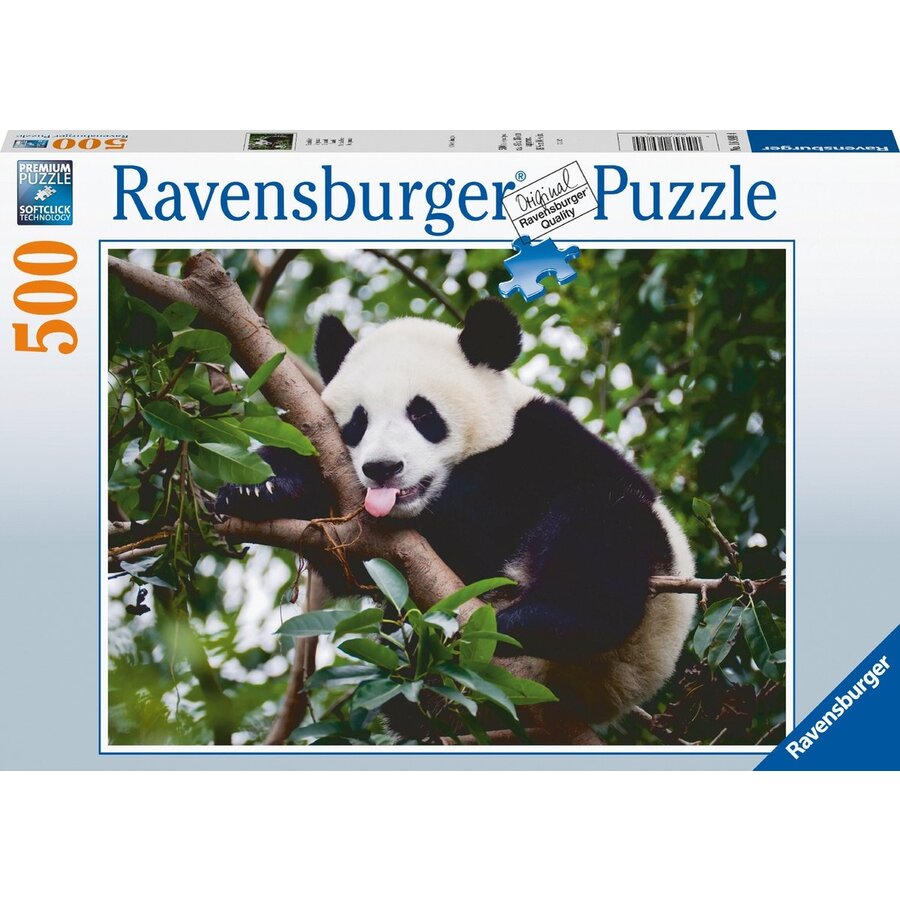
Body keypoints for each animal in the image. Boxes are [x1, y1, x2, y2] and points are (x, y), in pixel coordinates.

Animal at [217, 299, 696, 728]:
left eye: (422, 414)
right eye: (358, 421)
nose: (383, 468)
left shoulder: (541, 446)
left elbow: (475, 521)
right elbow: (347, 563)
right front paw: (258, 488)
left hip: (642, 618)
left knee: (601, 529)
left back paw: (533, 621)